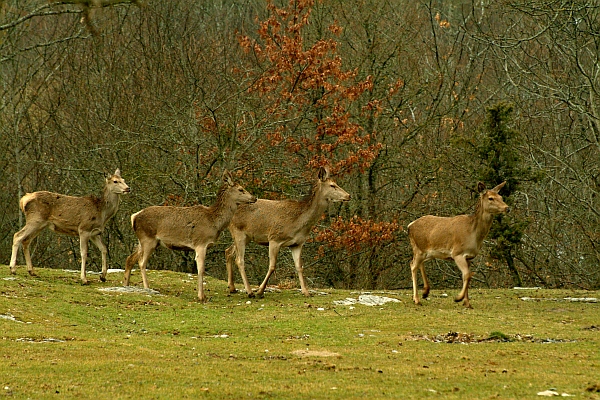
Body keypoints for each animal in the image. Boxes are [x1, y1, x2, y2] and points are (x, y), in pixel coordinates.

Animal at [125, 170, 256, 304]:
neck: (214, 222)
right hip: (148, 239)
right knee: (141, 262)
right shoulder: (200, 243)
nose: (254, 198)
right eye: (241, 189)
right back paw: (147, 288)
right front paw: (201, 296)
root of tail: (134, 217)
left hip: (145, 241)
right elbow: (201, 269)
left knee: (130, 258)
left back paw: (126, 284)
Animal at [225, 164, 350, 298]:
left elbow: (299, 267)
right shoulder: (274, 238)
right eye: (332, 185)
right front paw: (260, 290)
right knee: (239, 260)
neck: (298, 224)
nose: (348, 195)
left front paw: (306, 292)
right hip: (238, 231)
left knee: (228, 251)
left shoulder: (297, 244)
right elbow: (272, 266)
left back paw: (232, 287)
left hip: (245, 236)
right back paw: (249, 291)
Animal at [406, 182, 508, 310]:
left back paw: (425, 292)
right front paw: (458, 298)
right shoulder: (457, 253)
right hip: (418, 248)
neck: (473, 234)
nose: (507, 208)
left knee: (420, 264)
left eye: (501, 197)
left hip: (427, 252)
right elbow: (467, 275)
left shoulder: (469, 257)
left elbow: (468, 276)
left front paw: (467, 303)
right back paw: (416, 299)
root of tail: (409, 226)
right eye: (491, 198)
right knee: (413, 265)